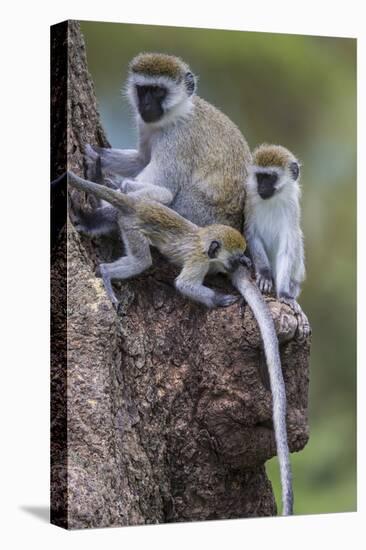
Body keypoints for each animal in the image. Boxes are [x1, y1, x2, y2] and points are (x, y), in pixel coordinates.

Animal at [67, 171, 250, 310]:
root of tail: (137, 205)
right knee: (141, 262)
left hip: (145, 201)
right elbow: (184, 285)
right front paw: (218, 299)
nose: (236, 266)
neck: (204, 241)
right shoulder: (199, 261)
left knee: (164, 196)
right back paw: (105, 272)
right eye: (233, 260)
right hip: (131, 227)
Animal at [246, 143, 308, 340]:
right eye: (260, 177)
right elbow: (252, 235)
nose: (262, 188)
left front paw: (284, 294)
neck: (272, 200)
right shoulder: (250, 201)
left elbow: (287, 249)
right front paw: (265, 274)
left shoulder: (292, 208)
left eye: (270, 177)